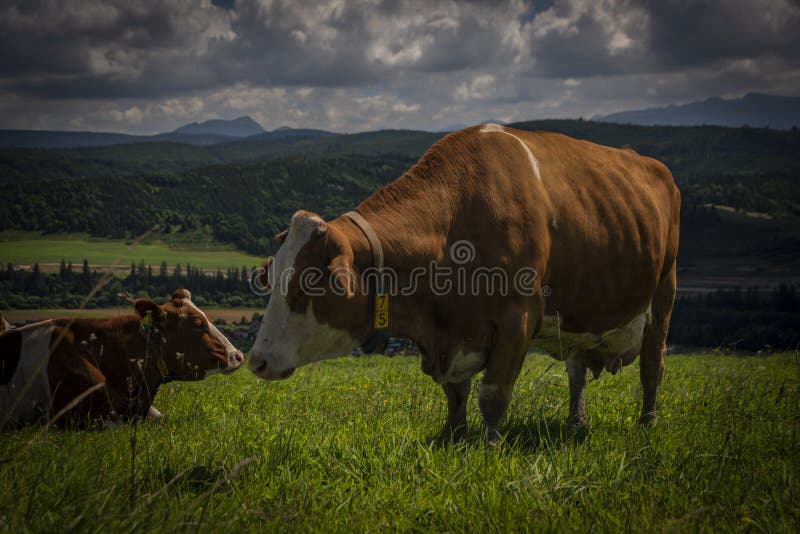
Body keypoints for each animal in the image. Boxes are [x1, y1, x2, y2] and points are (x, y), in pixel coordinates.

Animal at [247, 125, 680, 444]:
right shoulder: (453, 335)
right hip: (580, 314)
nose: (256, 361)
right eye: (272, 281)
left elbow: (493, 395)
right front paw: (453, 437)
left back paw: (648, 422)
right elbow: (456, 395)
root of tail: (647, 162)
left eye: (304, 289)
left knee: (653, 365)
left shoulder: (517, 320)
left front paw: (490, 446)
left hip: (664, 291)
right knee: (577, 370)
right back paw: (577, 422)